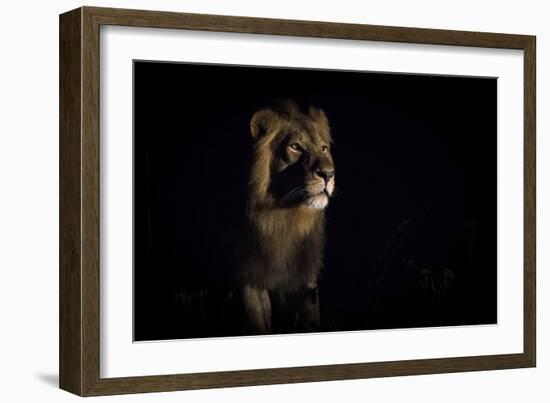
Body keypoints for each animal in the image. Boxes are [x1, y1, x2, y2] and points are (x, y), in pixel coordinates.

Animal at [239, 101, 338, 334]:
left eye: (323, 148)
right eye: (295, 147)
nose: (328, 174)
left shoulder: (305, 275)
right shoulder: (250, 276)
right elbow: (257, 321)